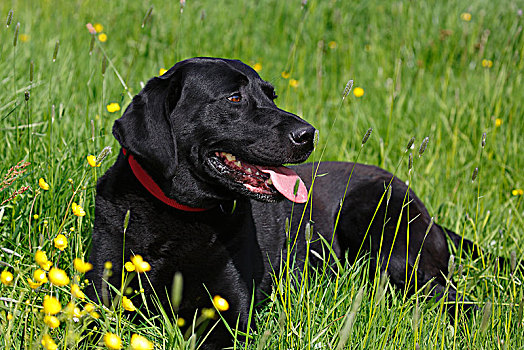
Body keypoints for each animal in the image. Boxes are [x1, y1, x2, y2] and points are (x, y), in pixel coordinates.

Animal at [88, 56, 482, 348]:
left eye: (271, 95)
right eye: (234, 98)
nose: (309, 134)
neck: (178, 215)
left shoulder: (227, 314)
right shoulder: (96, 297)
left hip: (388, 240)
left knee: (456, 297)